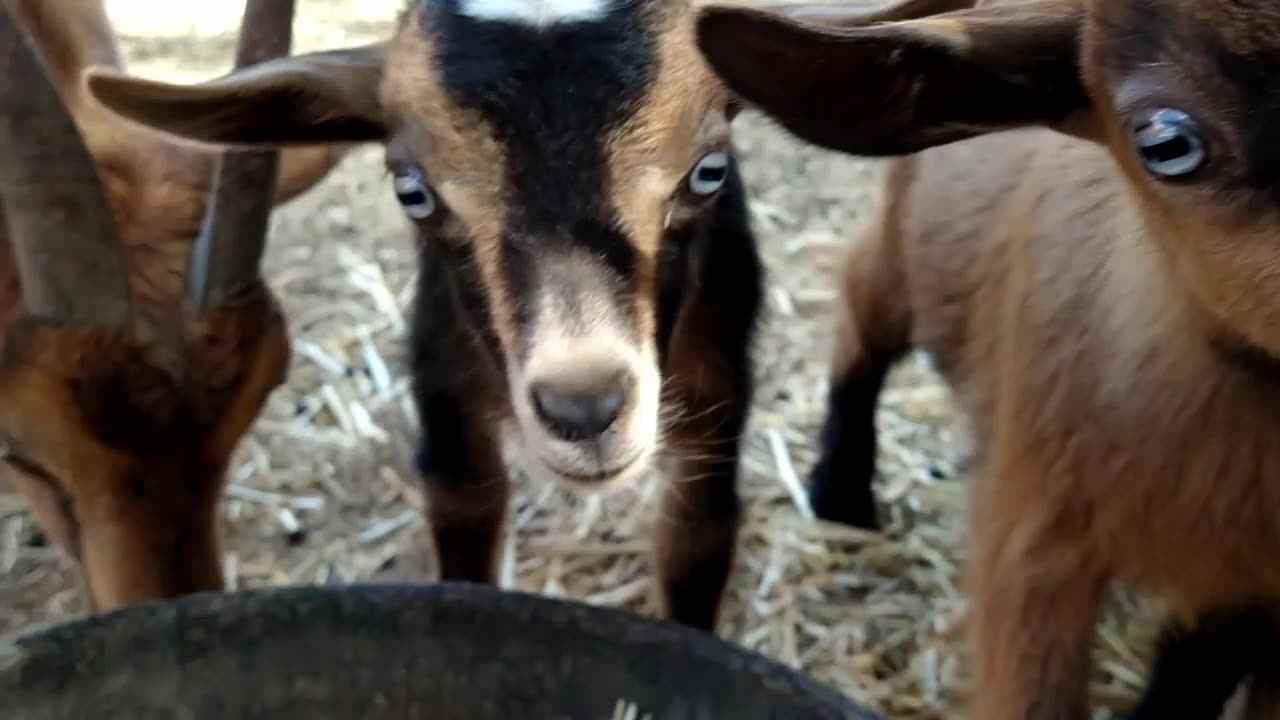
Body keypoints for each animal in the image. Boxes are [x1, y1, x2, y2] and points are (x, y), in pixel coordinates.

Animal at [696, 0, 1280, 712]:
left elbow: (1195, 672)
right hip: (899, 243)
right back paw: (840, 492)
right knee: (860, 313)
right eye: (1168, 145)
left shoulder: (1252, 592)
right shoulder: (1031, 550)